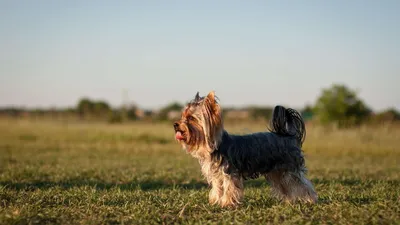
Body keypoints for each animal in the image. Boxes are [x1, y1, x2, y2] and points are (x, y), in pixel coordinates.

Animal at [173, 91, 318, 207]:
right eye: (182, 116)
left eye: (191, 118)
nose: (175, 124)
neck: (214, 147)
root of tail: (289, 136)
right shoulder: (216, 176)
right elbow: (218, 189)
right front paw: (216, 201)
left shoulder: (229, 173)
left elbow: (229, 189)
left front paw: (227, 204)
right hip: (278, 172)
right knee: (285, 186)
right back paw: (289, 202)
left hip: (289, 169)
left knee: (302, 184)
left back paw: (311, 200)